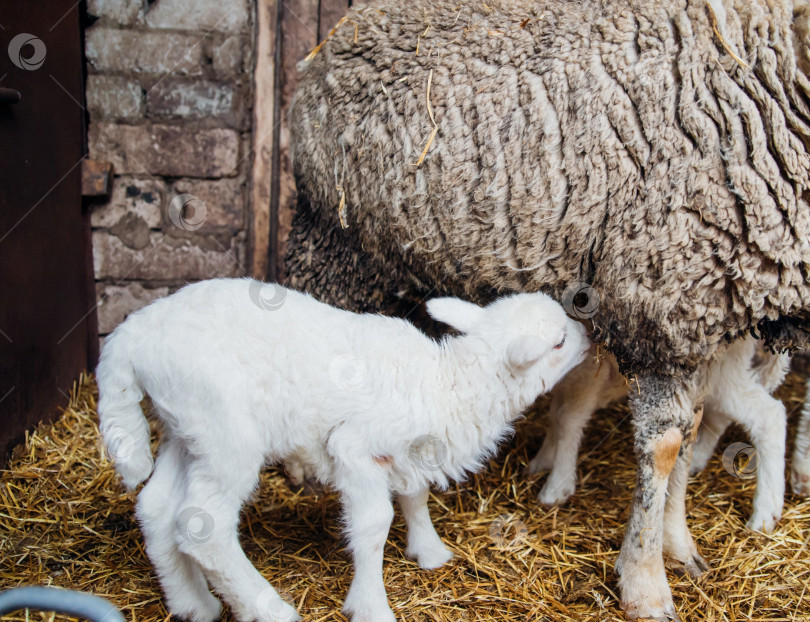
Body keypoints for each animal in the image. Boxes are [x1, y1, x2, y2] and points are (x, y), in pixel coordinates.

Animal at [94, 280, 588, 622]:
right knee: (204, 527)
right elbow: (374, 524)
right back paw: (267, 608)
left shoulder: (408, 454)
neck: (445, 384)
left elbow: (414, 496)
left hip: (184, 430)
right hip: (224, 433)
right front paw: (371, 606)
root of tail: (129, 338)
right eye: (559, 343)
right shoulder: (355, 448)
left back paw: (193, 604)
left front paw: (429, 552)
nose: (589, 333)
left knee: (158, 508)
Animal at [528, 338, 784, 532]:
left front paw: (557, 485)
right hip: (722, 369)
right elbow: (556, 409)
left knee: (769, 417)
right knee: (727, 413)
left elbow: (568, 416)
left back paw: (764, 513)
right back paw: (698, 459)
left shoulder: (588, 362)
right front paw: (543, 459)